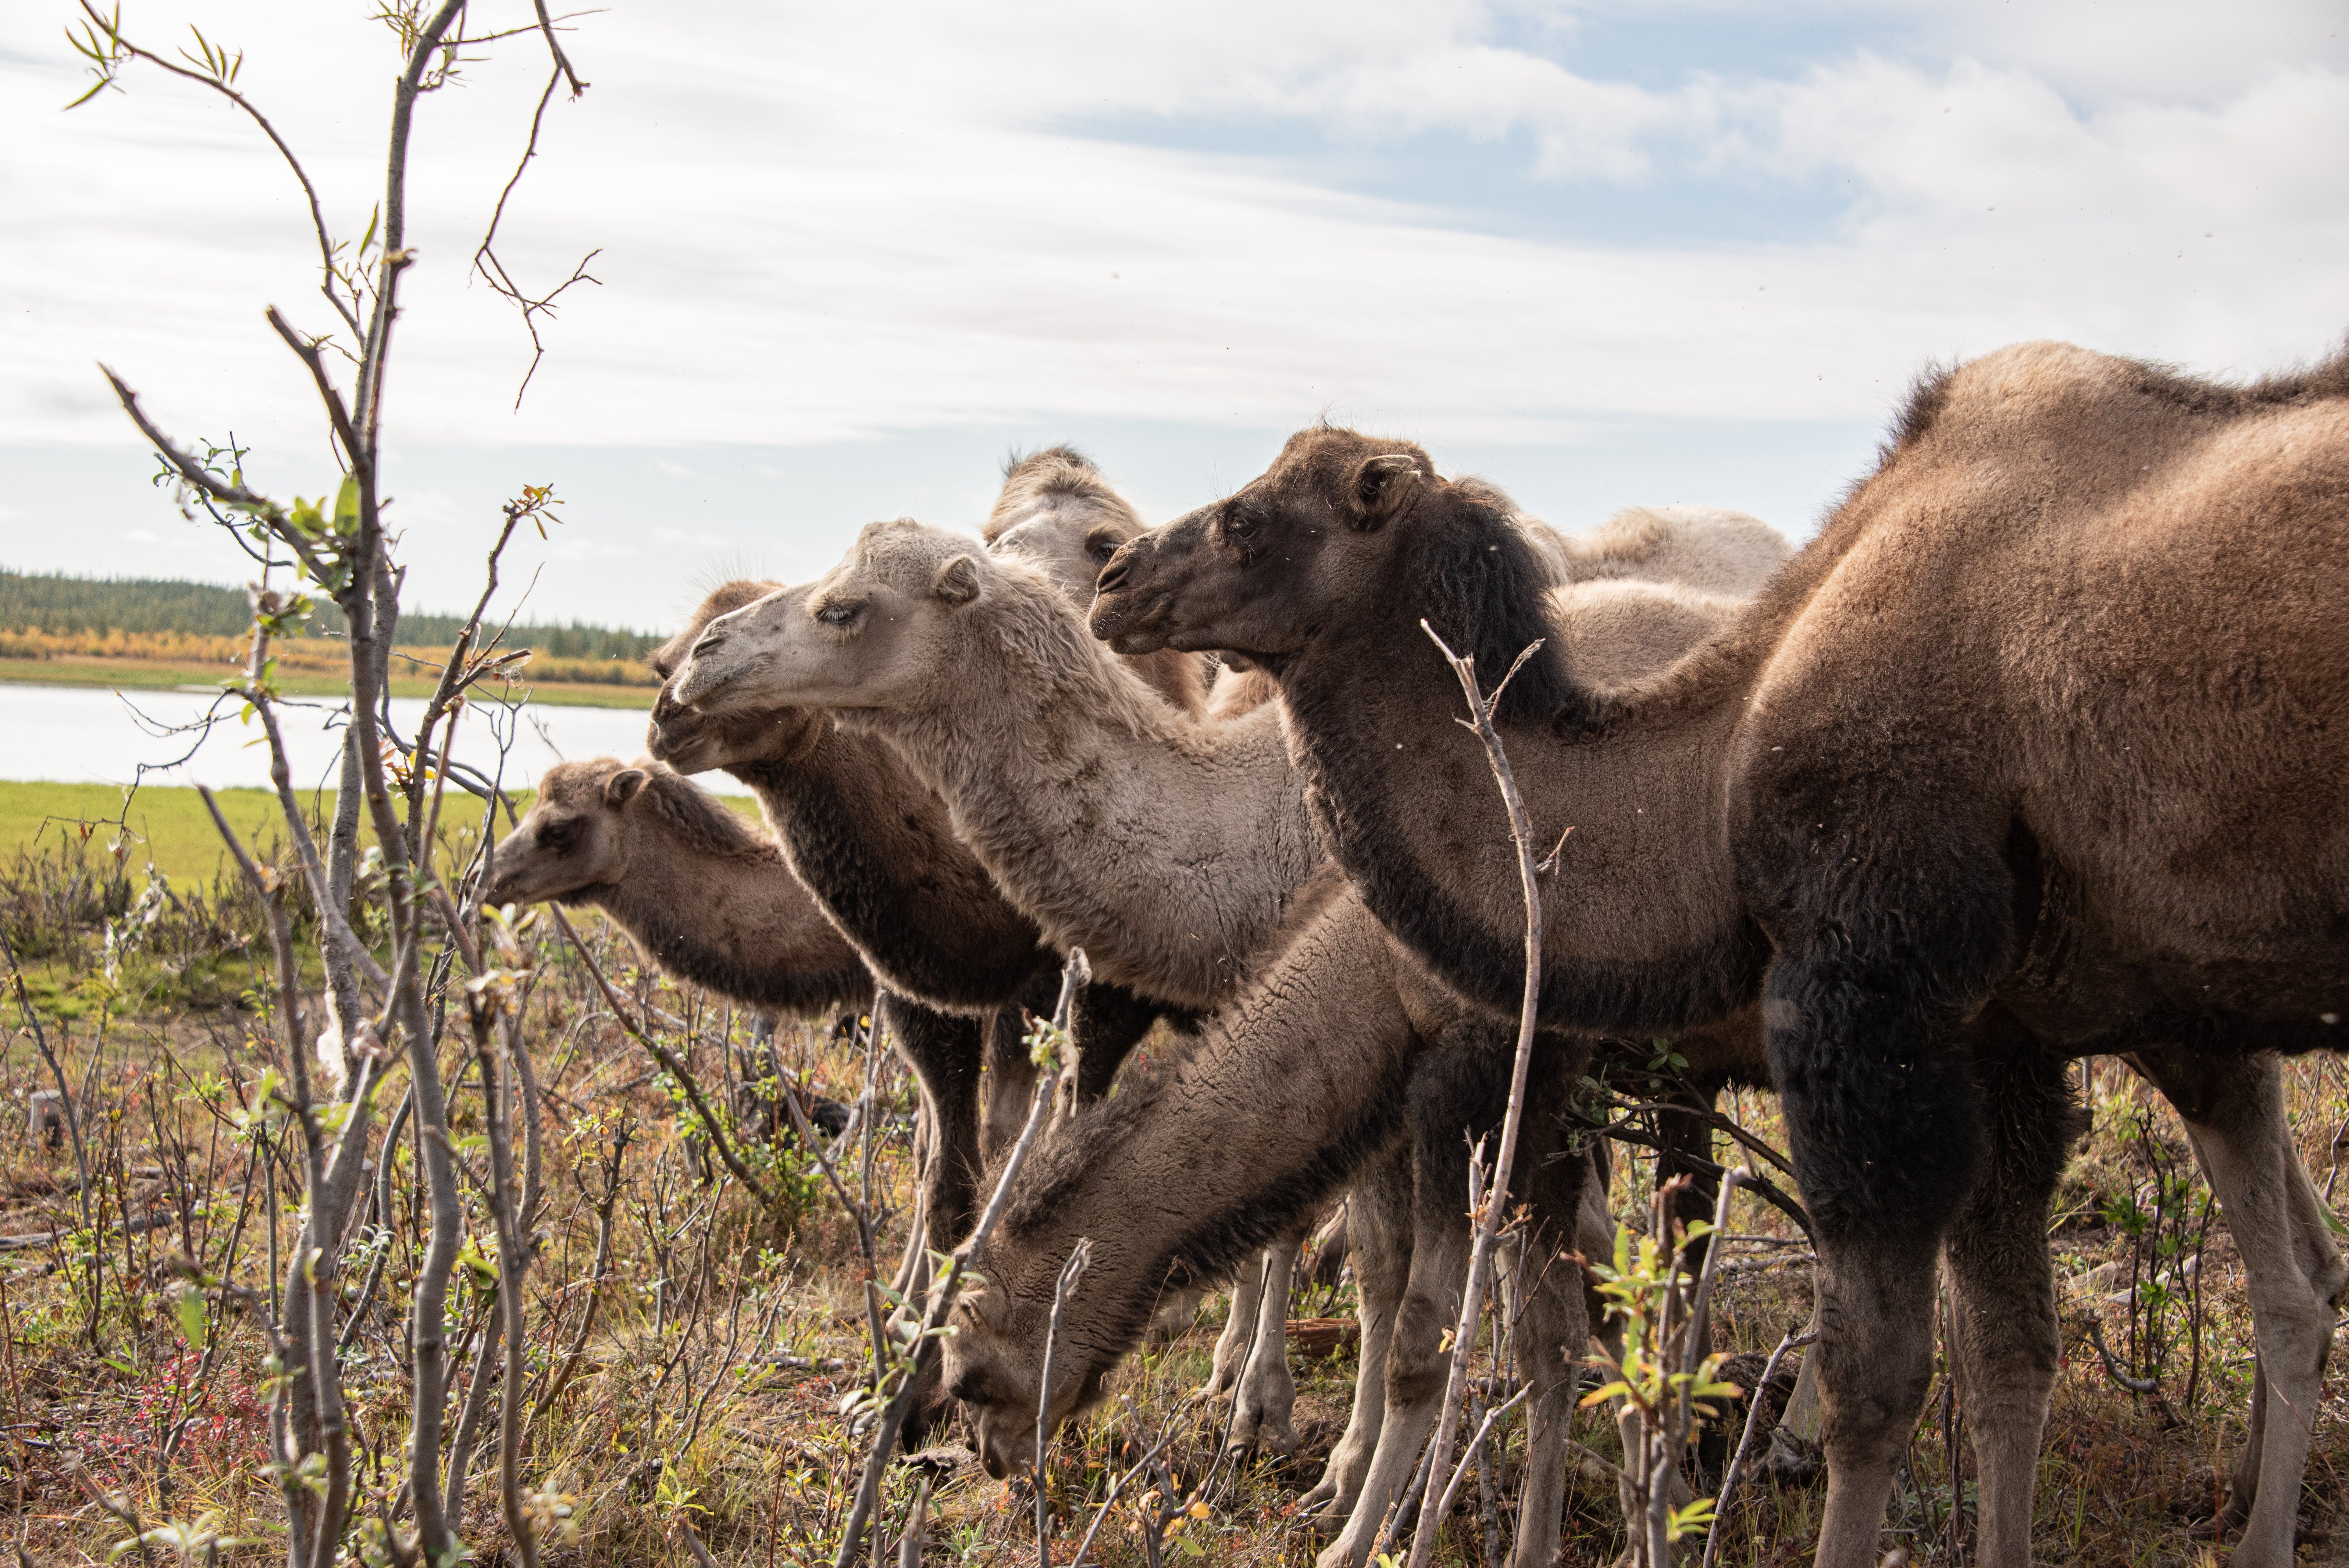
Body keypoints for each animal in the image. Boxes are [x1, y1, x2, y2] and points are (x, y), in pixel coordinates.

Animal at [1090, 345, 2349, 1568]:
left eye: (1248, 517)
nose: (1113, 581)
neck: (1721, 764)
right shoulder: (2002, 1038)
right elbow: (2008, 1359)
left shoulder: (1865, 1003)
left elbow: (1875, 1387)